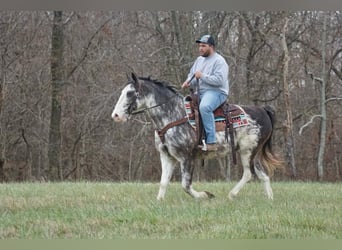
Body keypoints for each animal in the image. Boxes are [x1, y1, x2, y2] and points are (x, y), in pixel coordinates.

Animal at [112, 72, 284, 199]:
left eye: (130, 93)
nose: (115, 115)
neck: (174, 115)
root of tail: (263, 110)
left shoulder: (186, 157)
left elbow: (186, 185)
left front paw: (205, 195)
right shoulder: (167, 156)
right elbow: (163, 182)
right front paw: (159, 201)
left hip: (247, 151)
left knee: (249, 174)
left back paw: (231, 194)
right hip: (250, 152)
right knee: (262, 174)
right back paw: (269, 199)